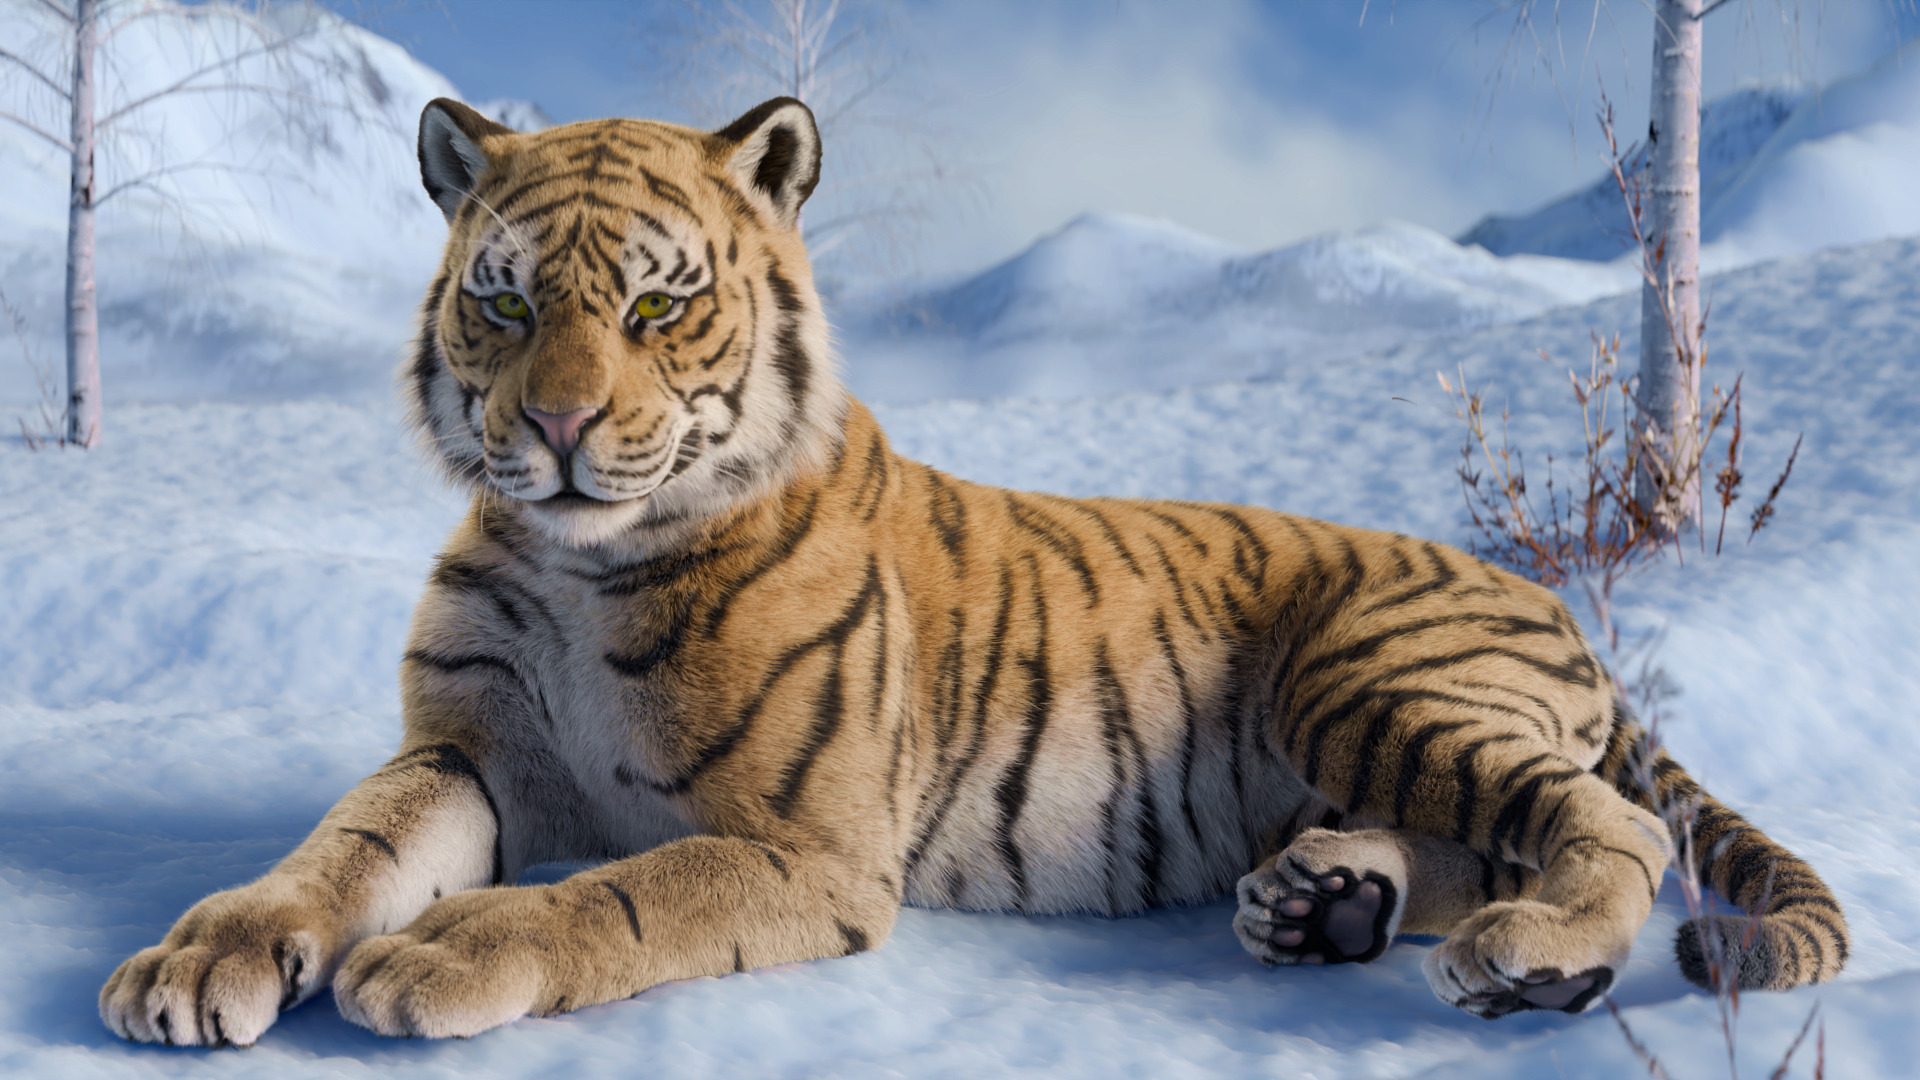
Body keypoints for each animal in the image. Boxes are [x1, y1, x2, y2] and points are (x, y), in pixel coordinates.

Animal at [99, 96, 1847, 1047]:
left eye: (659, 307)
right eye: (509, 302)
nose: (560, 426)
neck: (578, 564)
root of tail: (1545, 598)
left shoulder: (803, 844)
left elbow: (614, 896)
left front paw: (436, 956)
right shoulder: (464, 751)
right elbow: (334, 850)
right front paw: (199, 958)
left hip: (1370, 678)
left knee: (1610, 826)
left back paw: (1528, 960)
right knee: (1491, 838)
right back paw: (1325, 901)